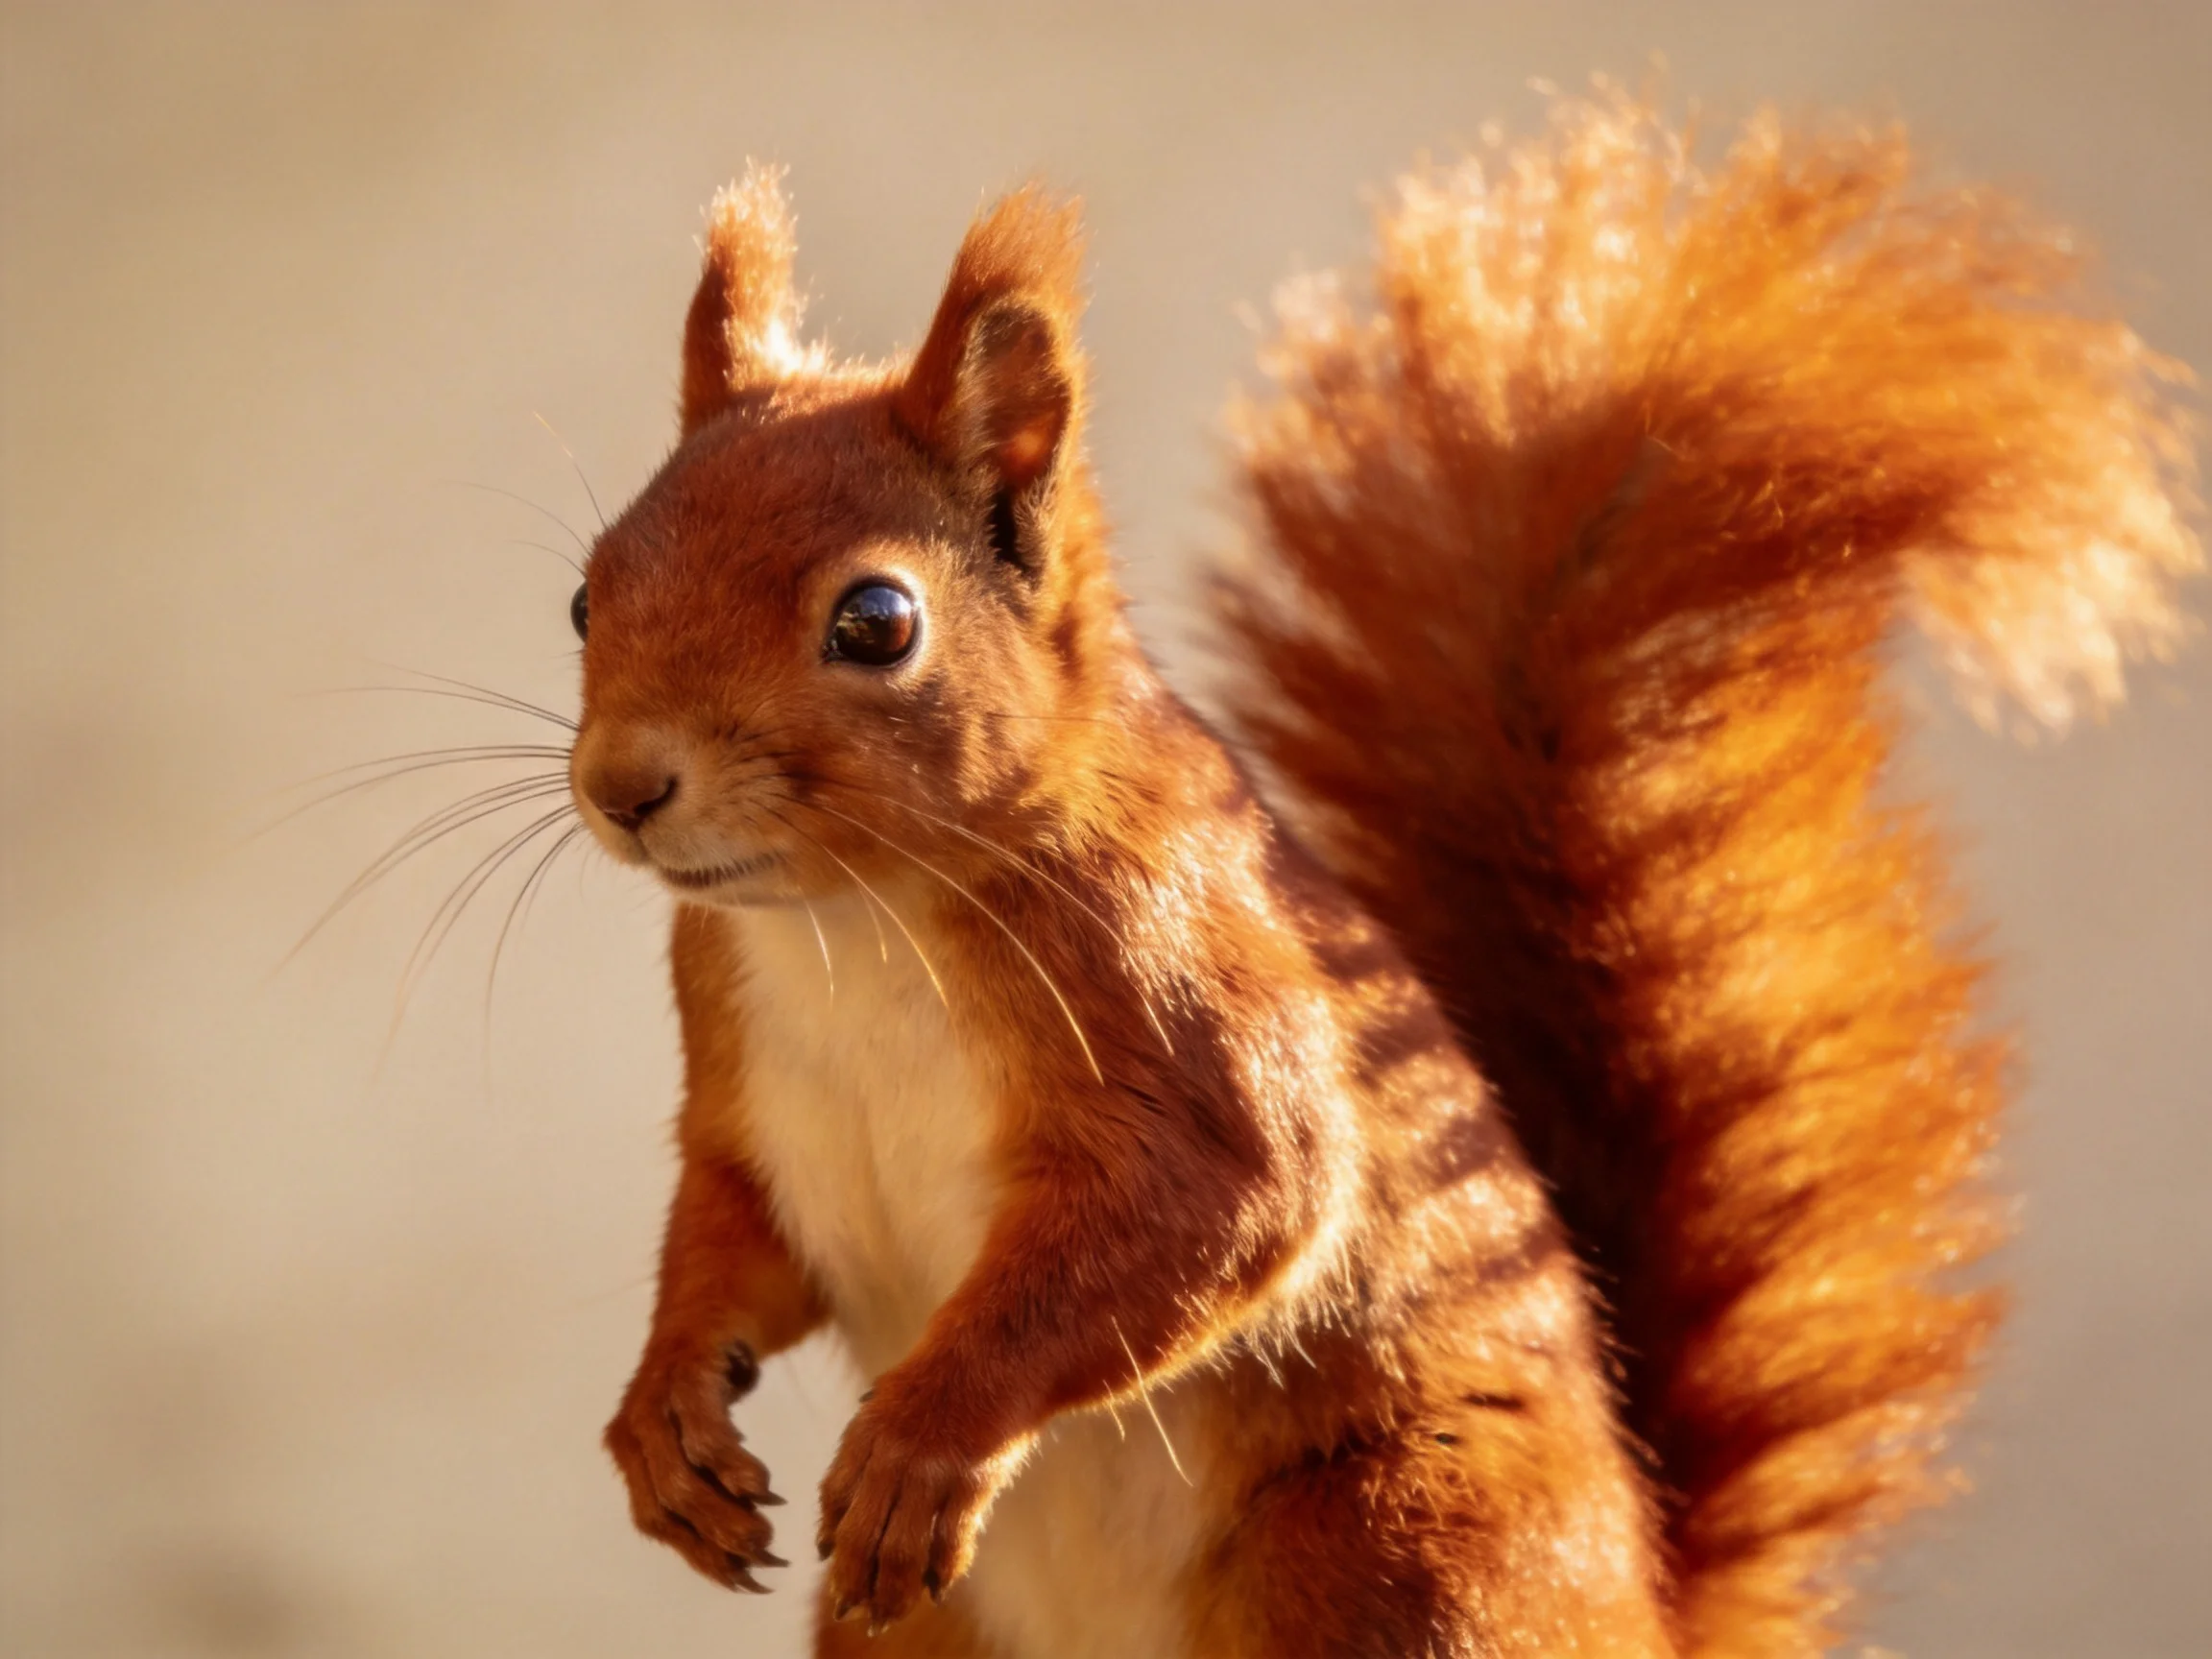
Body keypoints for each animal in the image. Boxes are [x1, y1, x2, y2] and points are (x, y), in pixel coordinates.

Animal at [565, 91, 2200, 1659]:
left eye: (877, 622)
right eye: (587, 591)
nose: (624, 788)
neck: (847, 920)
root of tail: (1644, 1605)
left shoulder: (1174, 979)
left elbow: (1222, 1204)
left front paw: (922, 1438)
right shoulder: (743, 1082)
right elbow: (731, 1237)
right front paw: (663, 1414)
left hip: (1392, 1554)